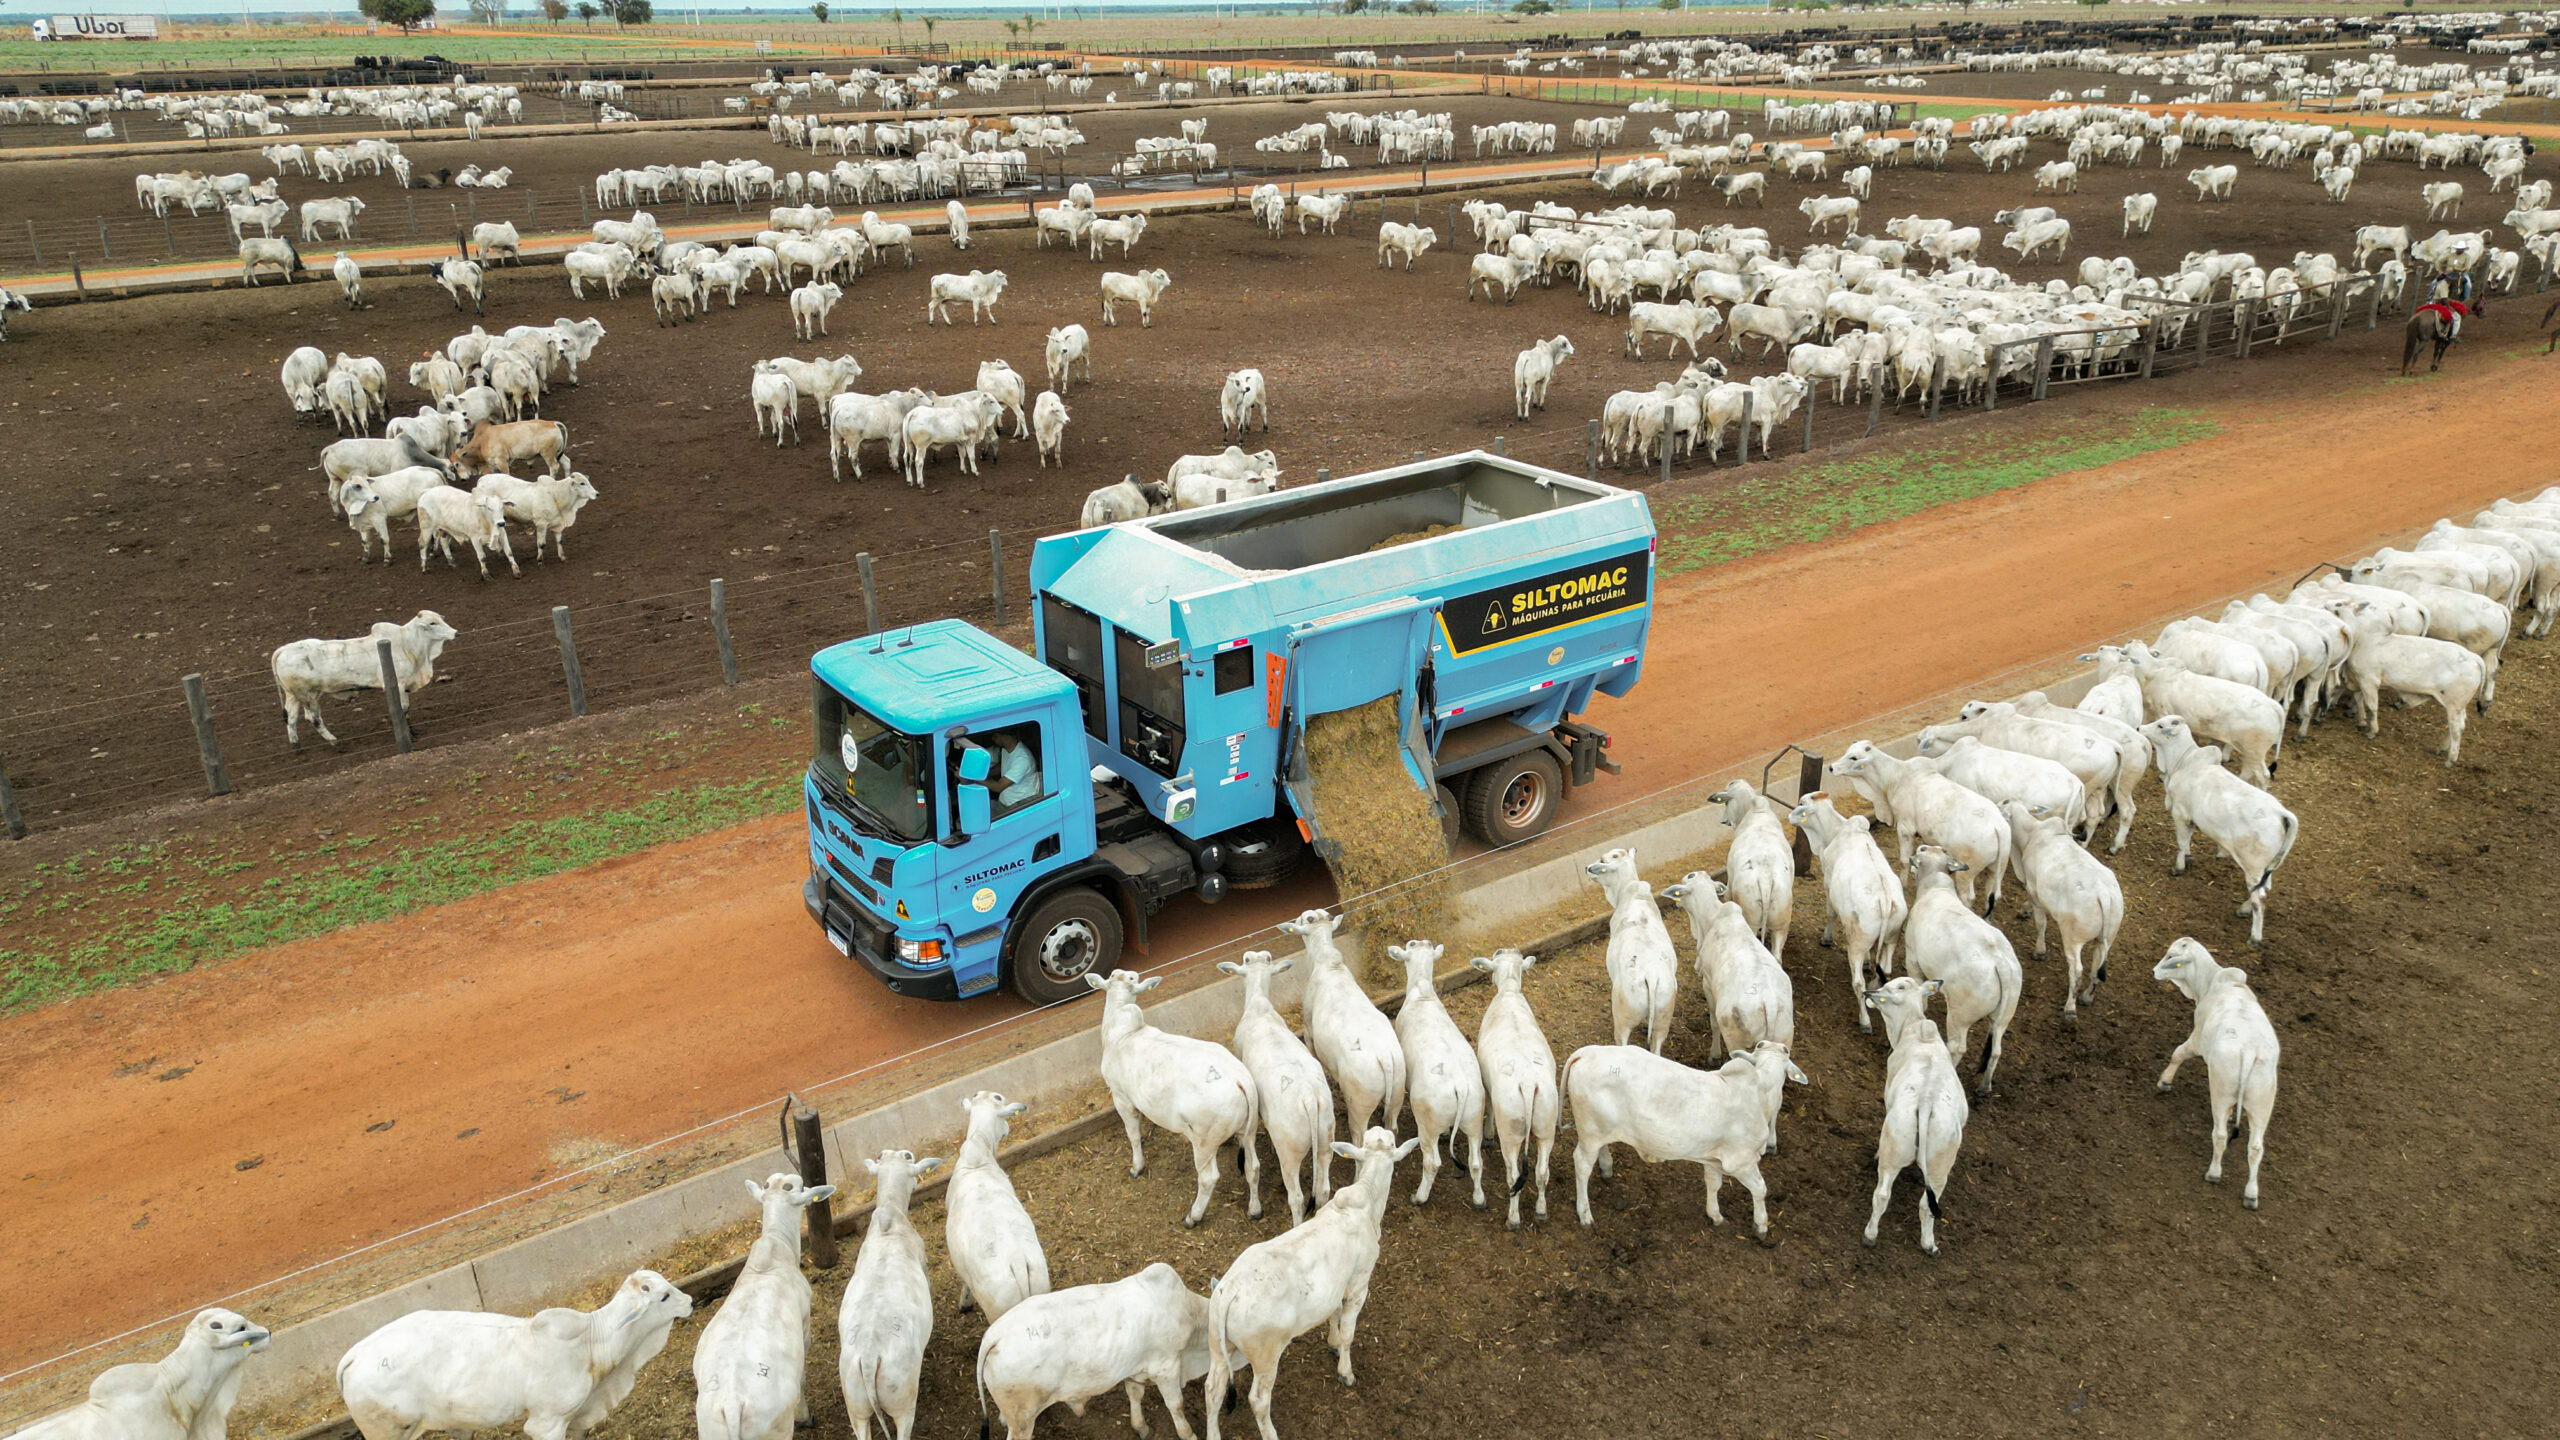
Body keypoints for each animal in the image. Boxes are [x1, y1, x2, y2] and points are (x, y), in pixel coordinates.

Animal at [277, 604, 463, 743]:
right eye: (432, 623)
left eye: (442, 619)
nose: (456, 632)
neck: (406, 643)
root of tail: (283, 650)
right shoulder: (398, 684)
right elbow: (402, 709)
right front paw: (409, 735)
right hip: (308, 696)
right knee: (313, 718)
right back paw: (334, 742)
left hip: (294, 695)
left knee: (291, 718)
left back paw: (296, 746)